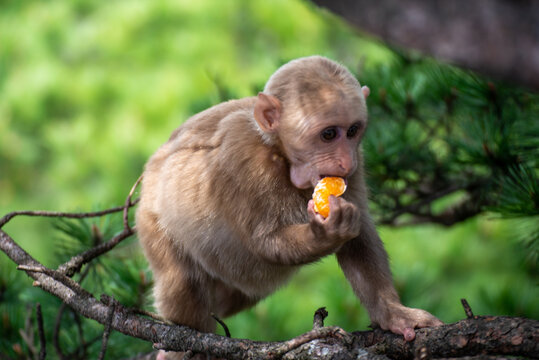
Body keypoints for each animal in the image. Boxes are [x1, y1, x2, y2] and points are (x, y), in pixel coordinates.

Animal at [136, 54, 442, 358]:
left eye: (353, 131)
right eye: (329, 134)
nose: (345, 161)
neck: (279, 153)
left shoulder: (359, 161)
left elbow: (359, 235)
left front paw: (392, 314)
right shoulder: (240, 156)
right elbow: (262, 241)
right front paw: (325, 235)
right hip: (152, 216)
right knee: (181, 280)